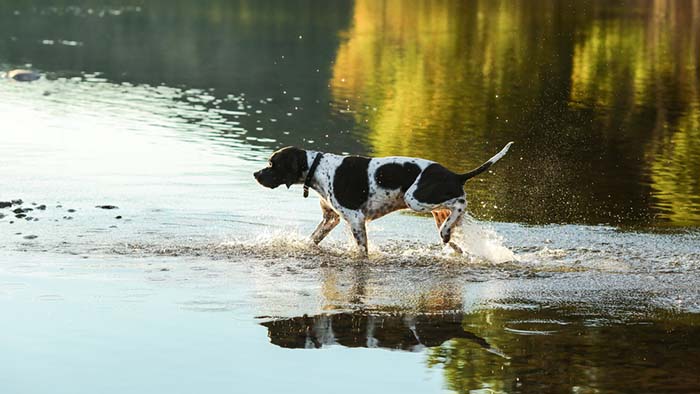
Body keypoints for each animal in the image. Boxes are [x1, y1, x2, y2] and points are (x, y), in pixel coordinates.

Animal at [254, 143, 512, 258]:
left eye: (272, 164)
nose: (256, 175)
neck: (318, 169)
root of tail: (455, 175)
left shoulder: (355, 219)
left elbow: (362, 249)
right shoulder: (331, 219)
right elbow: (312, 240)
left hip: (414, 198)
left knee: (460, 203)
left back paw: (449, 231)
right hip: (431, 207)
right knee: (451, 219)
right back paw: (452, 240)